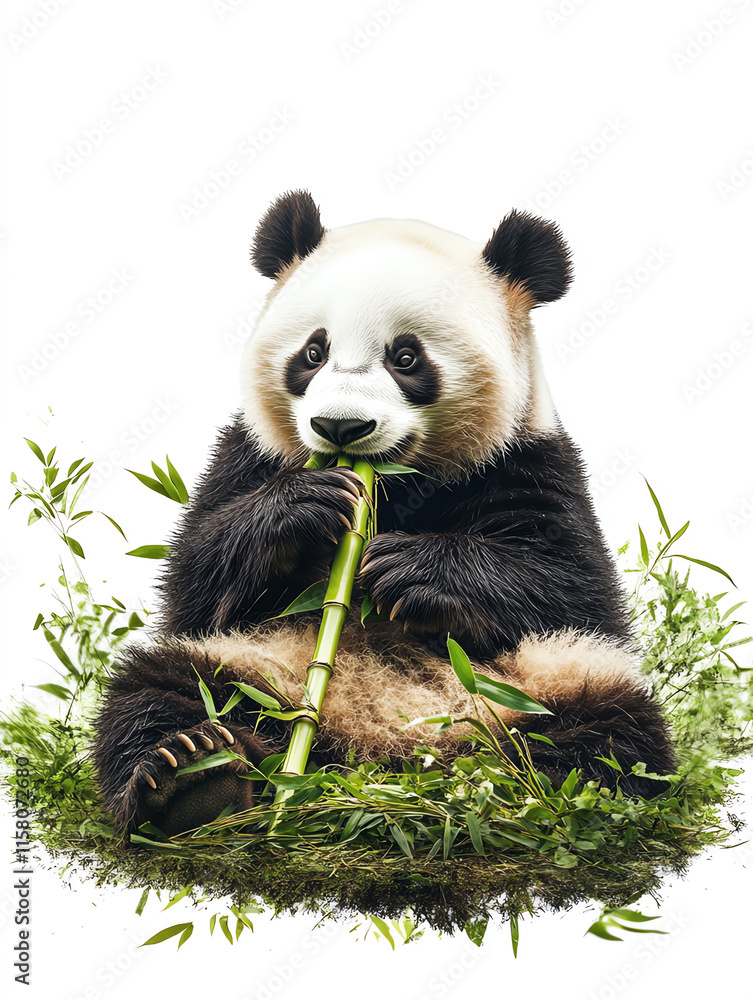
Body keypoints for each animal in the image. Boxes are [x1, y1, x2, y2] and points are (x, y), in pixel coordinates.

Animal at [93, 190, 675, 835]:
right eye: (313, 351)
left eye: (406, 357)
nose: (340, 427)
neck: (396, 488)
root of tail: (373, 759)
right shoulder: (250, 454)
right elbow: (194, 585)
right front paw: (306, 505)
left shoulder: (530, 461)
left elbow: (575, 589)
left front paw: (413, 571)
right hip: (259, 669)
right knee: (162, 690)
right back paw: (195, 777)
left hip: (539, 687)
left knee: (613, 733)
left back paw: (533, 795)